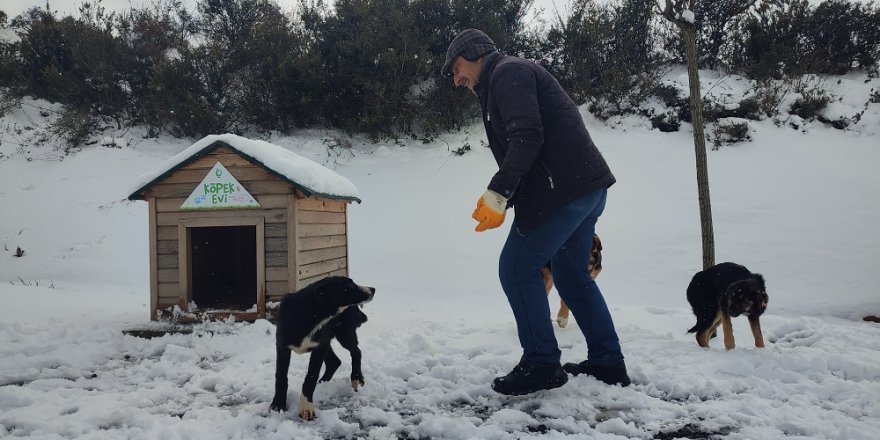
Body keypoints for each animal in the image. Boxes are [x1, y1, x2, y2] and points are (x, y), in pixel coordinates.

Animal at [272, 276, 374, 422]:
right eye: (349, 286)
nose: (373, 289)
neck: (308, 313)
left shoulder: (319, 348)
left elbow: (311, 376)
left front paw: (306, 407)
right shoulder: (282, 346)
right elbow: (280, 376)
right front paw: (278, 404)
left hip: (344, 334)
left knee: (356, 352)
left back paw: (356, 378)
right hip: (328, 340)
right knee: (335, 361)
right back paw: (323, 382)